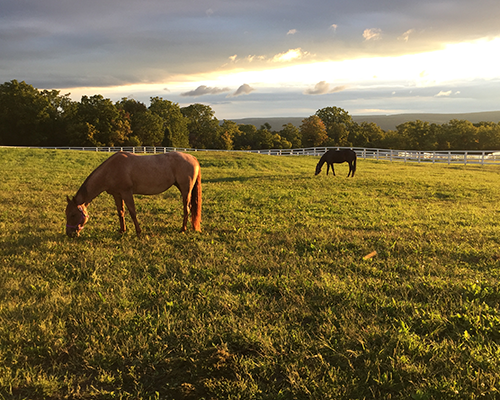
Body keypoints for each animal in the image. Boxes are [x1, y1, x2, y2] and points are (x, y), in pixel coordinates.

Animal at [65, 152, 202, 236]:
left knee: (187, 208)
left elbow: (132, 212)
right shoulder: (117, 194)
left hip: (185, 190)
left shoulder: (127, 193)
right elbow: (120, 212)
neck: (111, 169)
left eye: (73, 214)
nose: (69, 234)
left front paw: (138, 231)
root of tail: (193, 158)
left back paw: (183, 229)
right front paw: (122, 230)